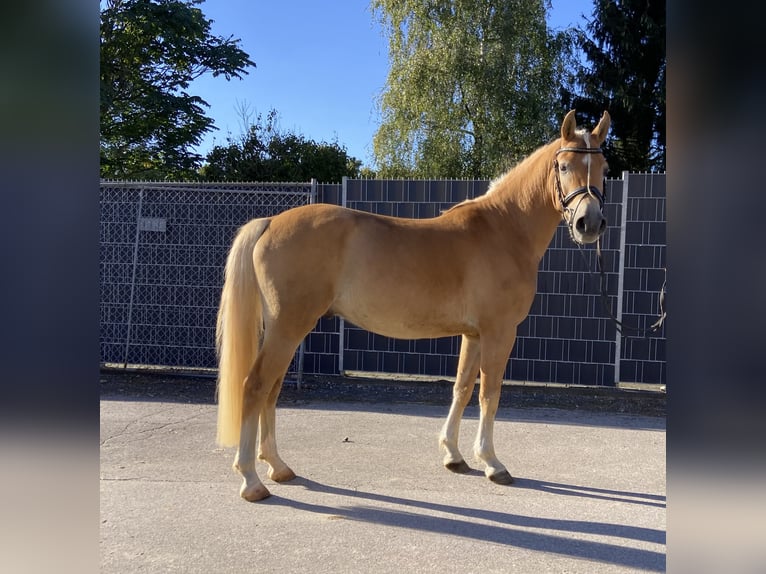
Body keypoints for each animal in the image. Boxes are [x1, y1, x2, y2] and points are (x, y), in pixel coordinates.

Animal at [216, 110, 612, 502]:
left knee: (272, 389)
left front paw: (453, 456)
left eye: (604, 167)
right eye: (564, 165)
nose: (589, 223)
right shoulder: (499, 332)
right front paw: (492, 463)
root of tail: (270, 222)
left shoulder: (474, 335)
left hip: (285, 330)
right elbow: (490, 394)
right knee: (255, 386)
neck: (503, 230)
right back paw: (251, 480)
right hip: (288, 327)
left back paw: (278, 466)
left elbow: (462, 389)